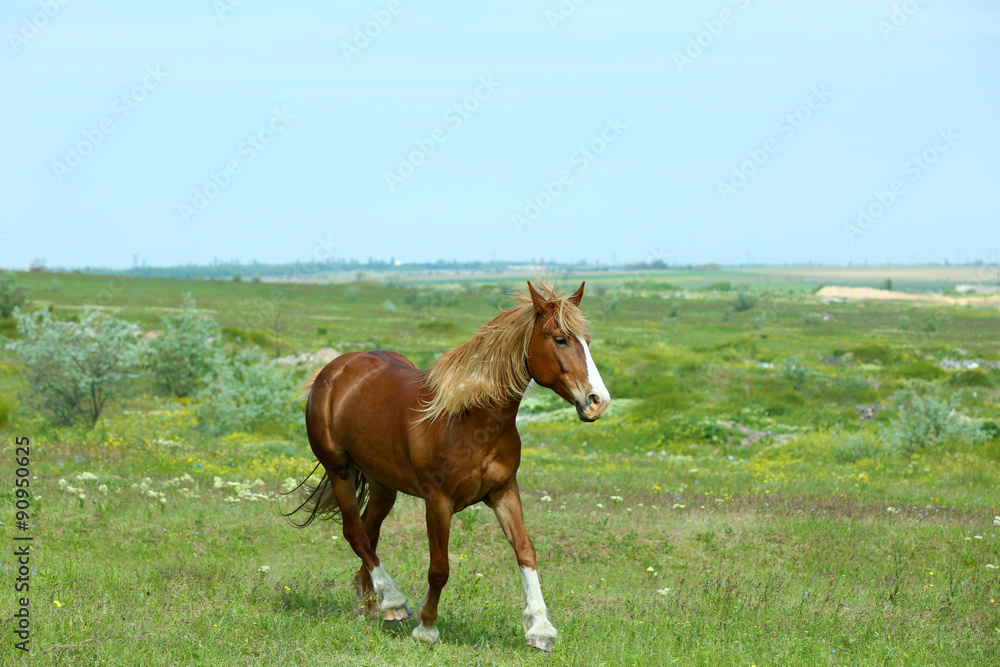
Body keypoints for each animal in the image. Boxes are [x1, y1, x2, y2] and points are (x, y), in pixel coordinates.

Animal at [287, 280, 610, 651]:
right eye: (560, 339)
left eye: (587, 340)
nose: (598, 401)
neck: (470, 421)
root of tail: (332, 370)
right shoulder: (438, 502)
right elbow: (439, 568)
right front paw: (427, 628)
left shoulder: (503, 492)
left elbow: (525, 551)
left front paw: (540, 629)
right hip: (339, 469)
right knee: (354, 532)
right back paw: (393, 601)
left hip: (384, 484)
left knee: (368, 534)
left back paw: (372, 604)